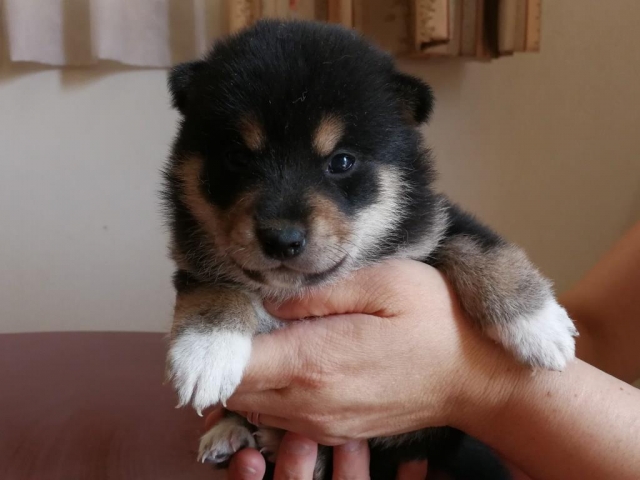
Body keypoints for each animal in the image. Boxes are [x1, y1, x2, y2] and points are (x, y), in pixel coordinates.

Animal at [162, 19, 577, 480]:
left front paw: (539, 325)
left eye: (342, 161)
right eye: (236, 157)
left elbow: (475, 243)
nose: (282, 239)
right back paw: (230, 433)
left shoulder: (434, 221)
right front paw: (205, 352)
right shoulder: (190, 257)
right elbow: (215, 285)